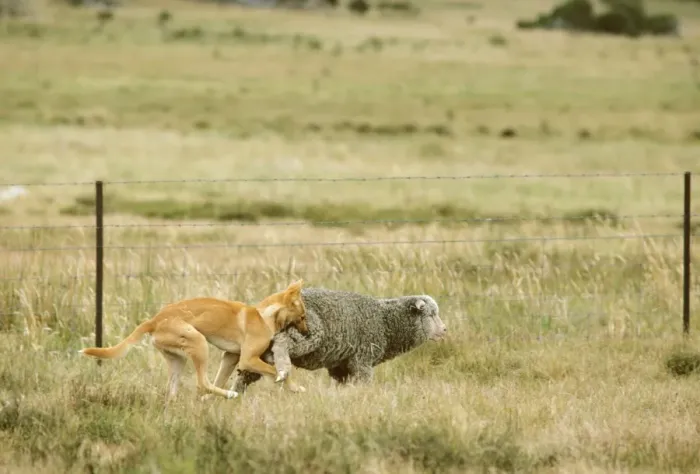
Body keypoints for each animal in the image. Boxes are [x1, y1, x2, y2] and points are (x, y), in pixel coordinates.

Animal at [210, 287, 447, 394]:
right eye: (431, 314)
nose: (445, 330)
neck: (385, 321)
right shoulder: (362, 359)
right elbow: (364, 381)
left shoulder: (341, 365)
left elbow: (343, 383)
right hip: (308, 332)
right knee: (282, 343)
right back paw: (283, 366)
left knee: (245, 372)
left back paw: (232, 393)